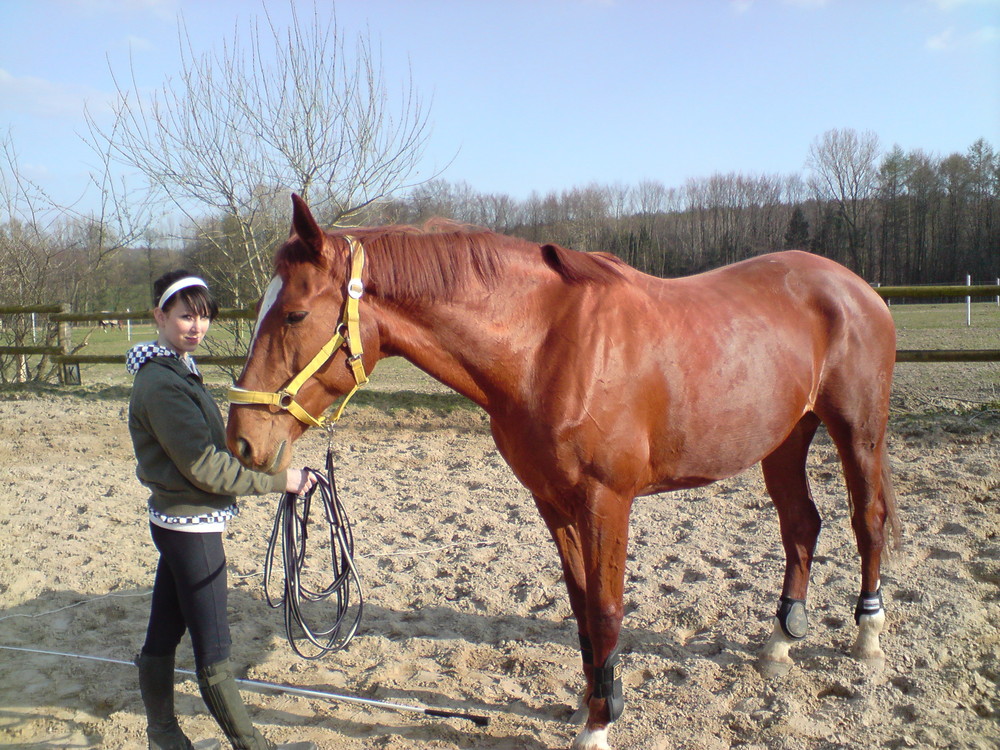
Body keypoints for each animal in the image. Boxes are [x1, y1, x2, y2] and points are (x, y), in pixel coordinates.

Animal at [227, 195, 900, 750]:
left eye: (293, 314)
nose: (242, 439)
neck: (547, 345)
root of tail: (855, 286)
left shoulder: (607, 502)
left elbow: (605, 611)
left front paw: (600, 725)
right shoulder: (553, 502)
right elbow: (580, 608)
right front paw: (593, 701)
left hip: (857, 432)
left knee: (867, 518)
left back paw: (869, 633)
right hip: (784, 440)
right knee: (801, 525)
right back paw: (781, 640)